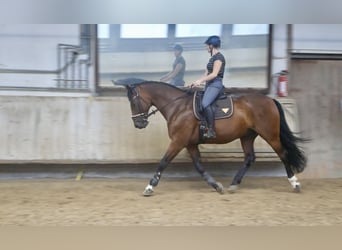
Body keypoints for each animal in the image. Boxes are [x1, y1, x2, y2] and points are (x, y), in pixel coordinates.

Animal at [119, 79, 306, 196]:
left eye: (133, 102)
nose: (139, 124)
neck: (177, 107)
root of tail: (270, 100)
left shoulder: (178, 141)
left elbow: (163, 162)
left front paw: (149, 187)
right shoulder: (190, 144)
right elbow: (199, 166)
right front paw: (216, 186)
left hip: (270, 134)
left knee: (283, 154)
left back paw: (295, 183)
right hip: (247, 136)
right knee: (249, 158)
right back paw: (234, 184)